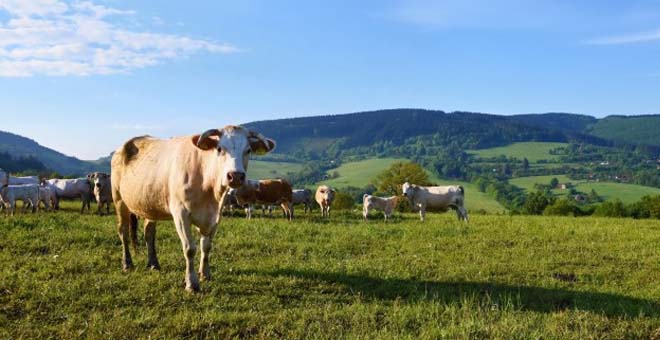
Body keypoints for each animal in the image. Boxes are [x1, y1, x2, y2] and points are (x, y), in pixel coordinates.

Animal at [110, 125, 274, 292]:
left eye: (248, 150)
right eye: (219, 149)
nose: (235, 176)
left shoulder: (215, 217)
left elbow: (206, 246)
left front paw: (205, 274)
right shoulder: (181, 214)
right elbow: (190, 248)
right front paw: (192, 283)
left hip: (150, 204)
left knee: (149, 233)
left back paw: (153, 263)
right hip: (119, 200)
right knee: (123, 231)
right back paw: (127, 263)